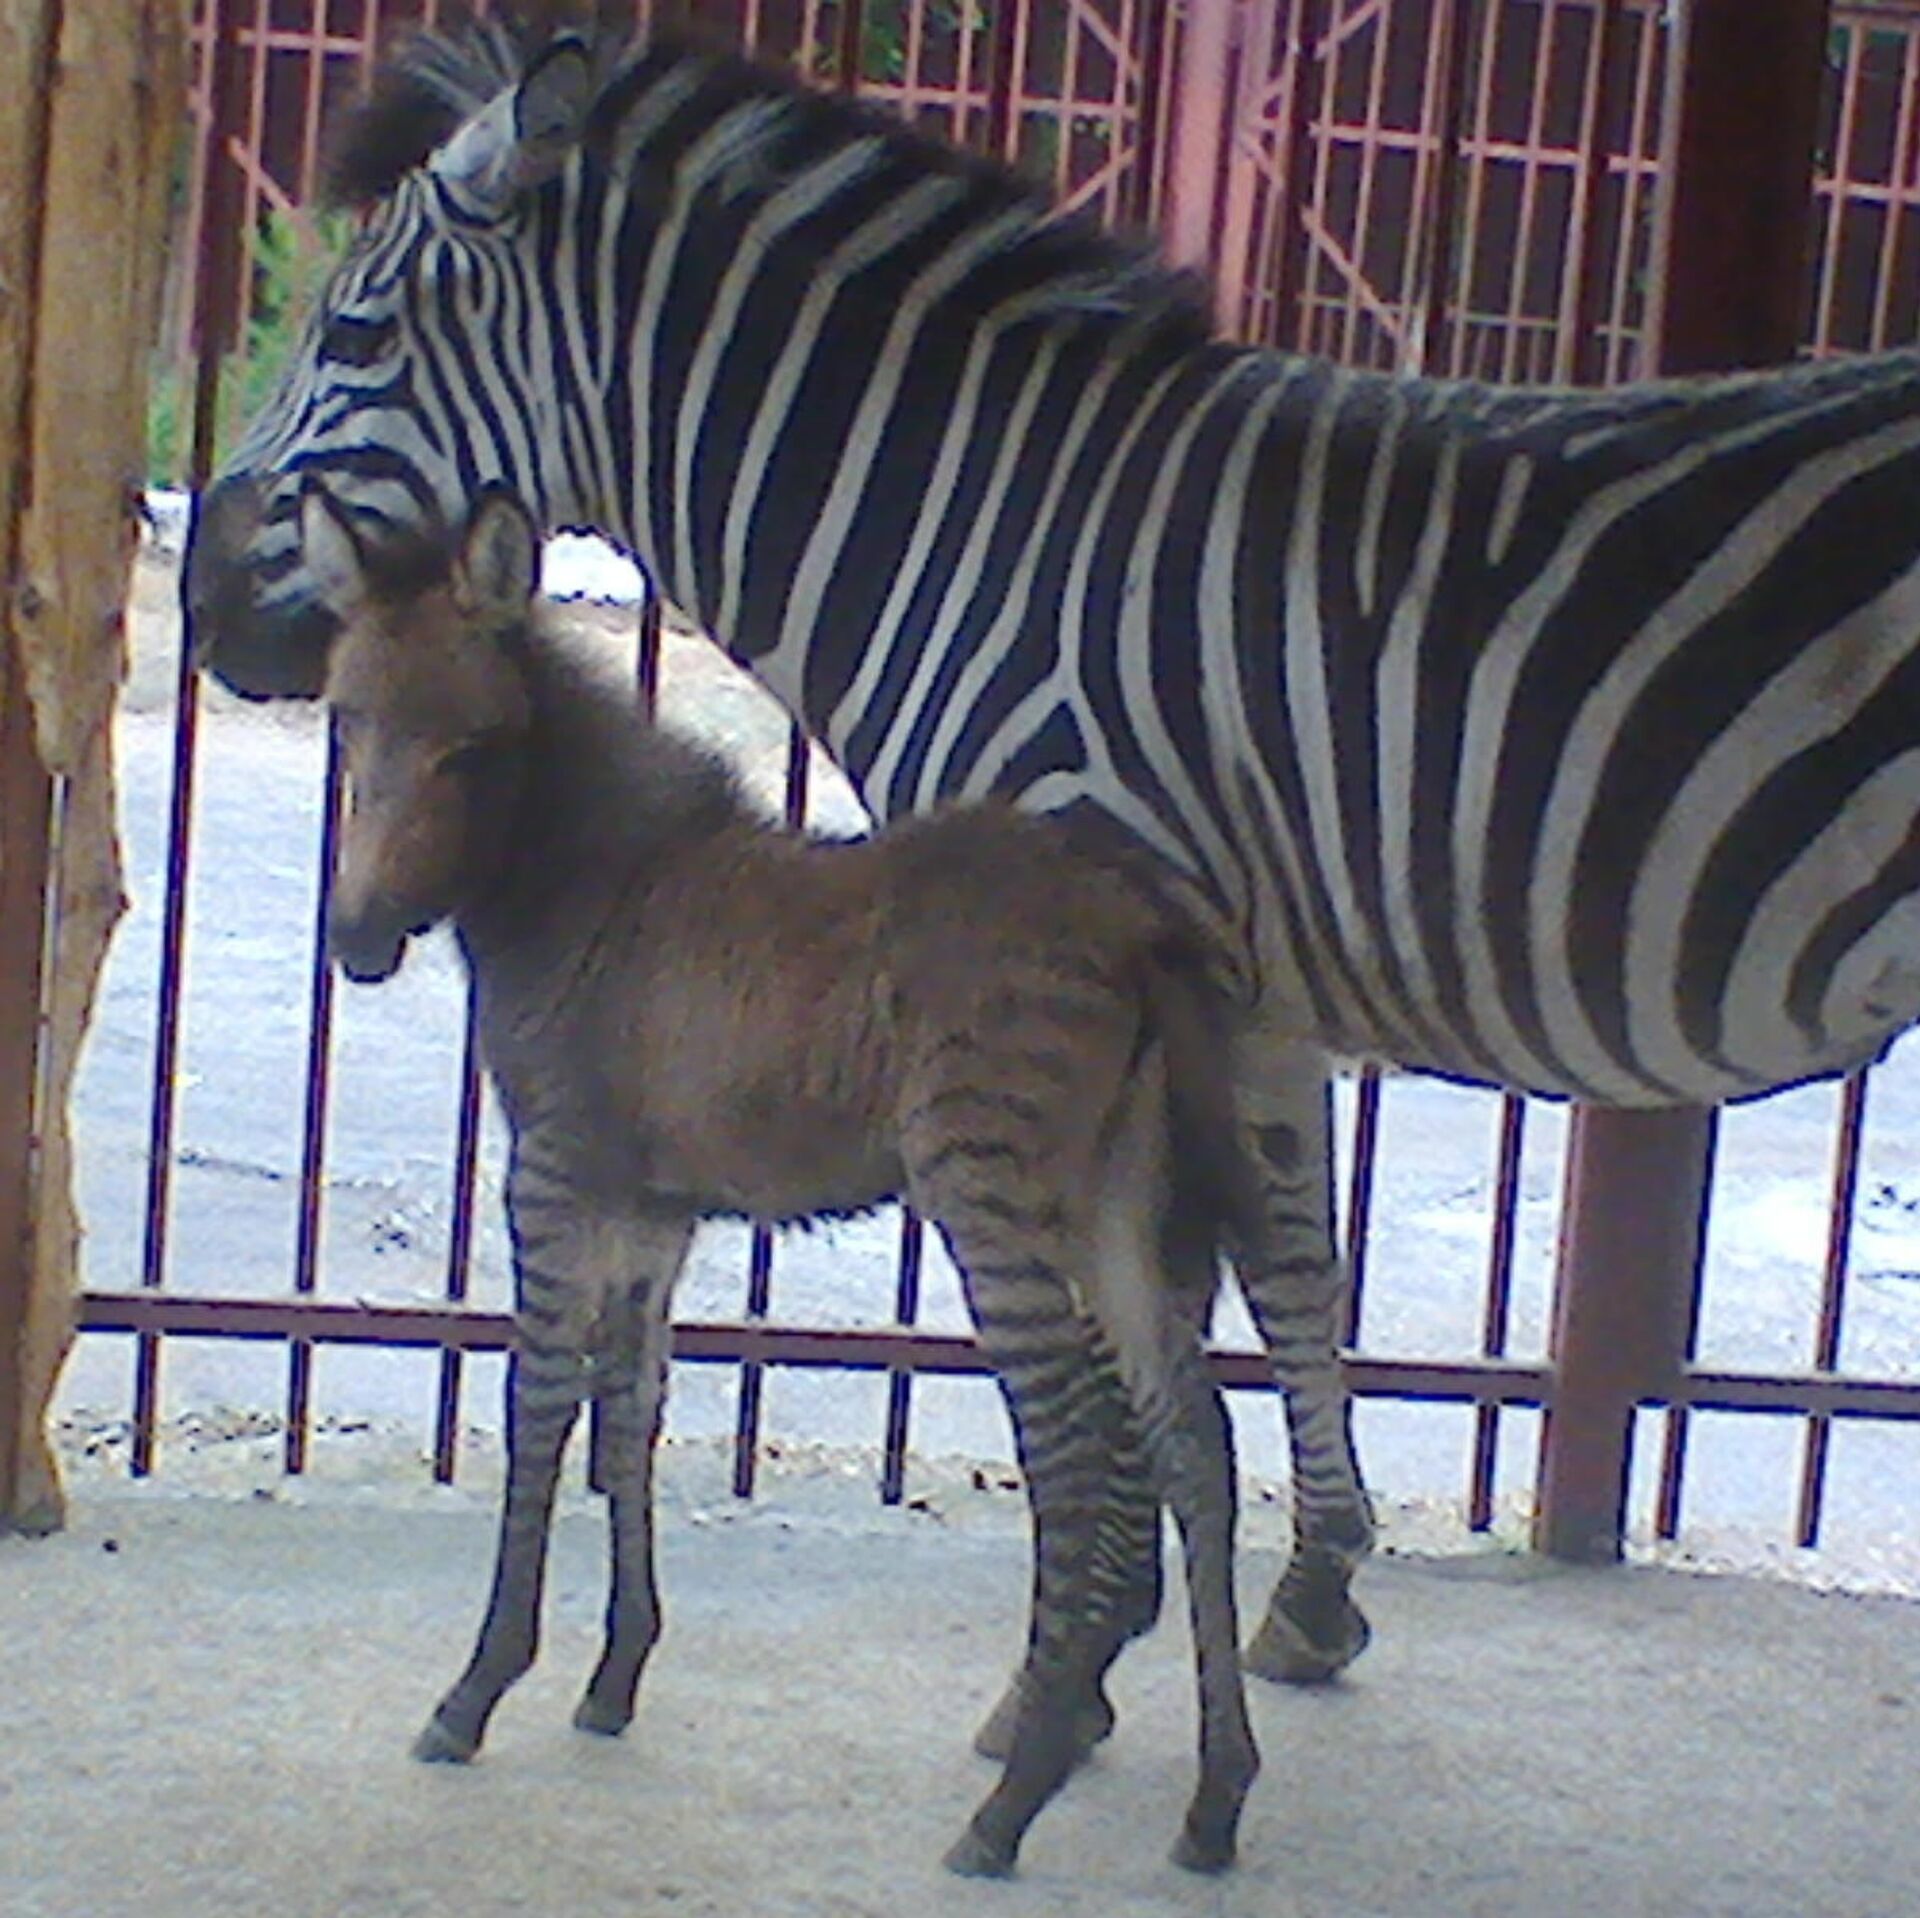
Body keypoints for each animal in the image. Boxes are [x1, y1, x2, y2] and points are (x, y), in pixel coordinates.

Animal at [187, 7, 1920, 1697]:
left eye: (352, 335)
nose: (201, 607)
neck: (978, 533)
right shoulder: (1240, 991)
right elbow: (1290, 1266)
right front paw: (1299, 1594)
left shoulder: (1080, 930)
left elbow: (1137, 1315)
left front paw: (1099, 1627)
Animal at [299, 479, 1259, 1873]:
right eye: (346, 723)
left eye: (473, 749)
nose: (358, 943)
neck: (589, 892)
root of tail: (1138, 919)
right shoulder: (652, 1206)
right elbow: (628, 1410)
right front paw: (615, 1675)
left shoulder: (554, 1172)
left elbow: (538, 1408)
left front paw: (476, 1689)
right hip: (1116, 1204)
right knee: (1196, 1445)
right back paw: (1215, 1797)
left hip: (992, 1192)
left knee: (1078, 1453)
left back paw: (1014, 1797)